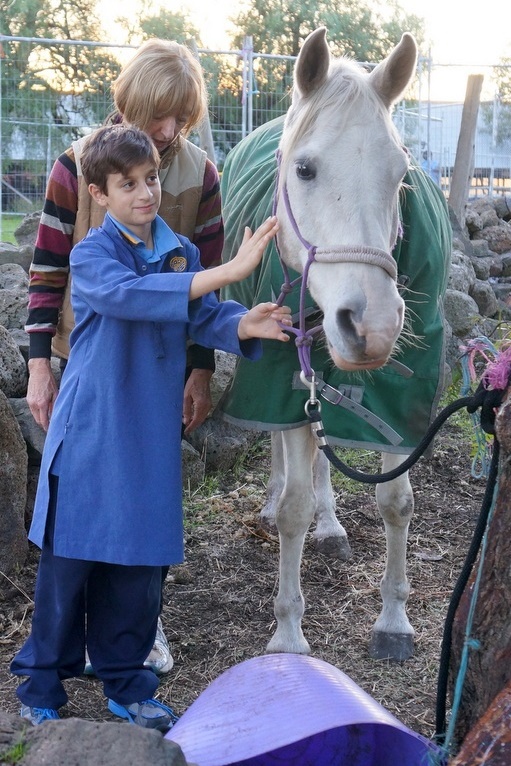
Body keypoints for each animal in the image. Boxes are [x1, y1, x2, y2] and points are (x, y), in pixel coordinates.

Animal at [220, 30, 452, 664]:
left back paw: (331, 527)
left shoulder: (402, 398)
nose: (371, 324)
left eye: (400, 174)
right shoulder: (281, 373)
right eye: (305, 169)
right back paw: (277, 502)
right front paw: (287, 635)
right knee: (285, 453)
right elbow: (294, 505)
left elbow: (397, 502)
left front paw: (394, 619)